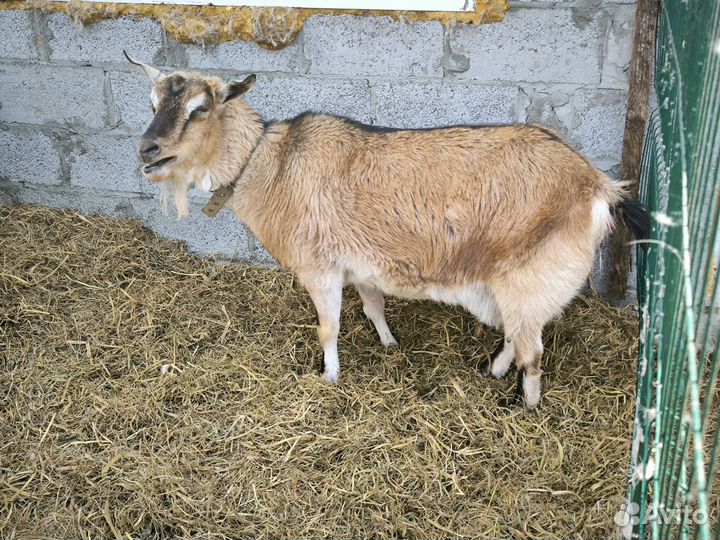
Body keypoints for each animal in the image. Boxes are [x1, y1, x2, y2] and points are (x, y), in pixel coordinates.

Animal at [125, 52, 650, 409]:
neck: (271, 167)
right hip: (515, 282)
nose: (147, 151)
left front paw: (330, 378)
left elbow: (328, 327)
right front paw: (389, 343)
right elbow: (373, 307)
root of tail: (597, 184)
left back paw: (528, 405)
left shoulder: (320, 268)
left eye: (200, 108)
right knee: (516, 337)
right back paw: (491, 371)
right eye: (150, 102)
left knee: (533, 352)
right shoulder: (361, 268)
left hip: (530, 275)